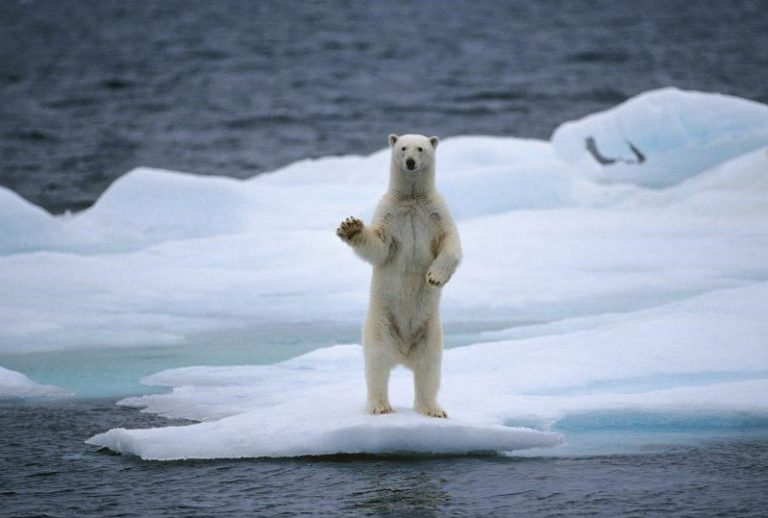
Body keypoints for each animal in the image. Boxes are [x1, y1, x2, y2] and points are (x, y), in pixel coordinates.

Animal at [332, 133, 460, 418]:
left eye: (420, 148)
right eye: (403, 148)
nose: (410, 162)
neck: (411, 199)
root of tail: (403, 353)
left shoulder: (436, 214)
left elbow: (451, 245)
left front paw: (434, 277)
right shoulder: (390, 216)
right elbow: (378, 247)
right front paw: (350, 227)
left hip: (430, 331)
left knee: (429, 368)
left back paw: (432, 409)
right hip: (380, 324)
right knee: (377, 363)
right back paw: (380, 405)